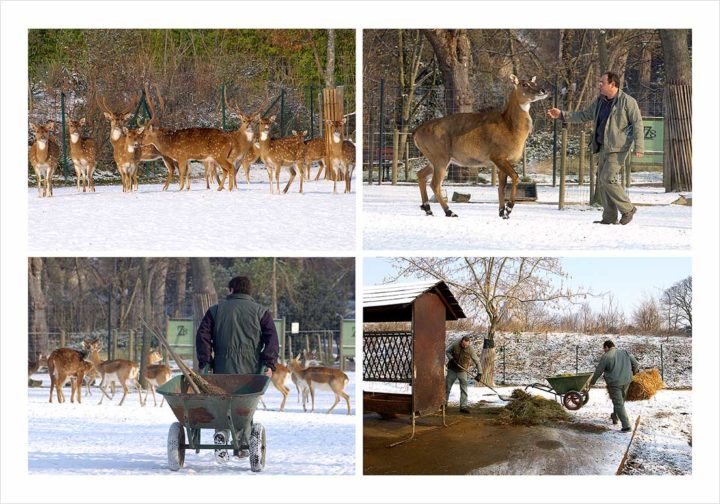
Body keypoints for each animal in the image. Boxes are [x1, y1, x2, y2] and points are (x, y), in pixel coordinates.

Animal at [414, 74, 548, 219]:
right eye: (524, 84)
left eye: (533, 82)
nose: (543, 90)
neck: (510, 128)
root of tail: (416, 133)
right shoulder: (498, 156)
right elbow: (515, 177)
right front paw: (509, 209)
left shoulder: (502, 162)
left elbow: (501, 187)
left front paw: (502, 212)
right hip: (440, 157)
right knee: (434, 184)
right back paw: (450, 212)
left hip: (434, 158)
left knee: (420, 174)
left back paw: (427, 209)